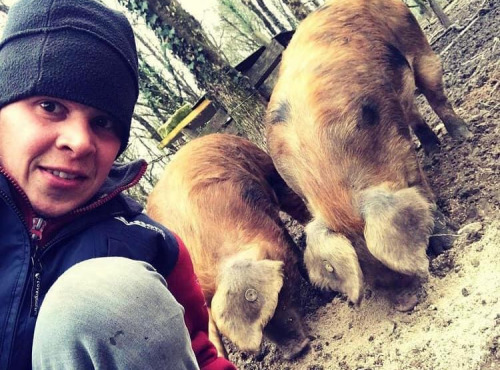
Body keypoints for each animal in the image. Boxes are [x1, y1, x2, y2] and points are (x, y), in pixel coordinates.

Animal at [264, 0, 470, 304]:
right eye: (366, 269)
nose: (407, 303)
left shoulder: (399, 146)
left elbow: (421, 189)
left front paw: (449, 243)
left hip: (418, 46)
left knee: (435, 93)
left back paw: (463, 136)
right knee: (414, 112)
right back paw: (434, 151)